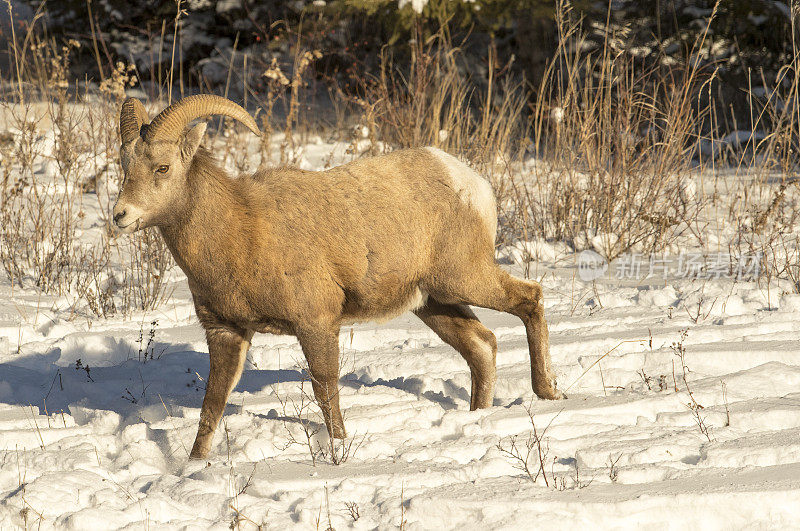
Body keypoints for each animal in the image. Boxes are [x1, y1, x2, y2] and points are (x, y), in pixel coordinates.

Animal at [114, 95, 564, 462]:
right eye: (125, 168)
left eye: (162, 167)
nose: (120, 216)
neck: (241, 231)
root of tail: (471, 183)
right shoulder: (226, 332)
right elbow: (213, 403)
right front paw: (192, 466)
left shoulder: (315, 323)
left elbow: (324, 389)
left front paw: (340, 448)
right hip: (434, 303)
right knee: (482, 346)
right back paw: (478, 415)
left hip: (465, 279)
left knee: (530, 298)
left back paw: (548, 392)